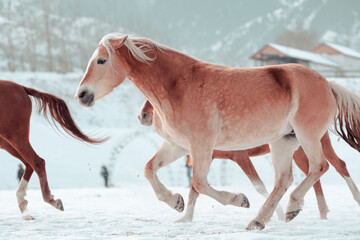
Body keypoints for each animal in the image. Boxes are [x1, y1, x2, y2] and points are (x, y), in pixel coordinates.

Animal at [0, 80, 104, 219]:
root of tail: (21, 87)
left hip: (15, 137)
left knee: (37, 162)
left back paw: (50, 201)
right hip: (6, 142)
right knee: (29, 164)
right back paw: (24, 205)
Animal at [139, 99, 360, 221]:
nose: (143, 116)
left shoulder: (241, 157)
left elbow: (259, 186)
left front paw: (274, 214)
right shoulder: (206, 158)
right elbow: (195, 189)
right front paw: (184, 217)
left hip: (311, 147)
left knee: (337, 166)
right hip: (300, 152)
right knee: (315, 175)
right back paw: (320, 211)